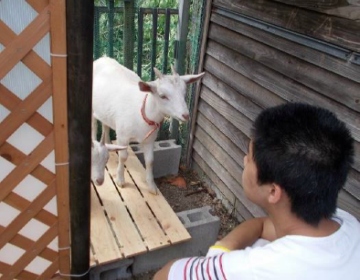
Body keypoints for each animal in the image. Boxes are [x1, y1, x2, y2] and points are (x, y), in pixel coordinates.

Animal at [92, 55, 205, 194]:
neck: (142, 111)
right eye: (162, 96)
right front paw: (120, 180)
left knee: (105, 124)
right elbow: (123, 157)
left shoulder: (150, 139)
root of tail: (102, 58)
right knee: (94, 125)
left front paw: (152, 186)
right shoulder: (123, 135)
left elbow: (150, 161)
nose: (185, 115)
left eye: (184, 93)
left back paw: (108, 143)